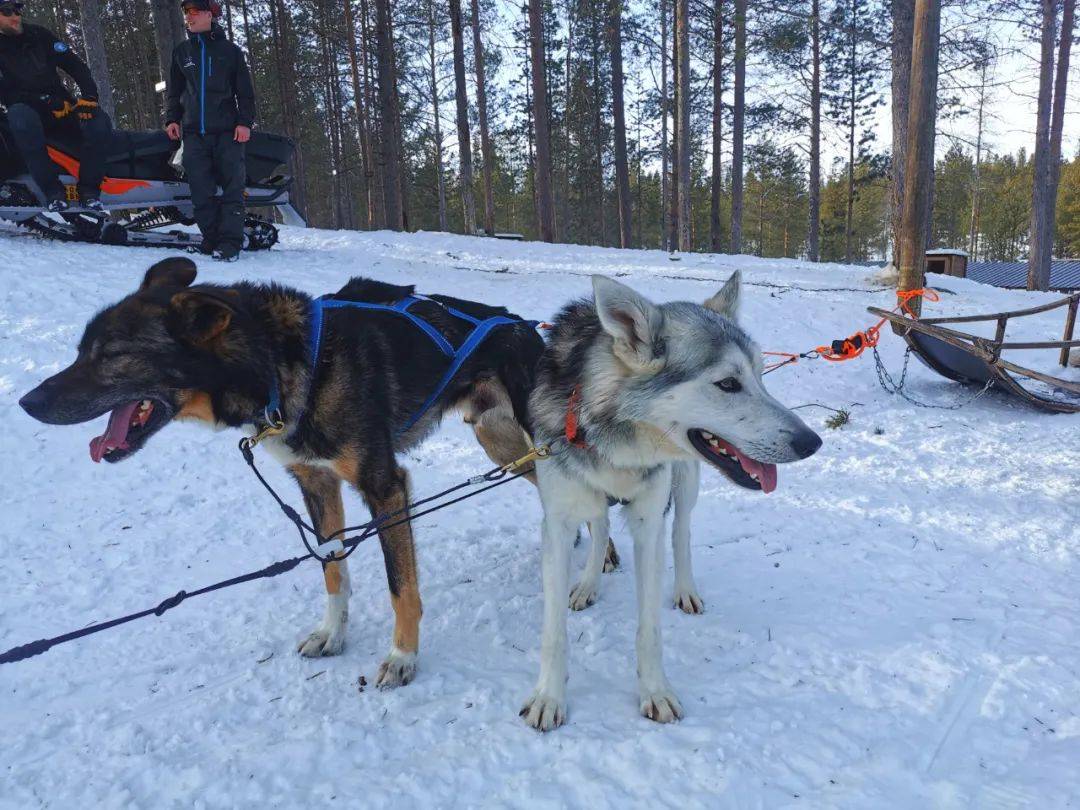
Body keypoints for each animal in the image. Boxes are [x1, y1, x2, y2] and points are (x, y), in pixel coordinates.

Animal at [16, 257, 540, 686]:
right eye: (81, 350)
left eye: (111, 355)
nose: (27, 402)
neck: (285, 364)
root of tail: (525, 326)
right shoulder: (316, 483)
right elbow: (333, 569)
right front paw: (332, 634)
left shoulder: (385, 487)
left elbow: (400, 586)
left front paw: (402, 657)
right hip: (501, 443)